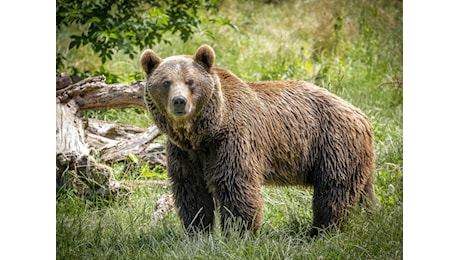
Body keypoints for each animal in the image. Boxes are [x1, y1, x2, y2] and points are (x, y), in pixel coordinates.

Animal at [140, 45, 374, 238]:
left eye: (191, 81)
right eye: (166, 82)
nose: (179, 101)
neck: (204, 133)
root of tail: (362, 115)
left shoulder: (232, 139)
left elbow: (235, 184)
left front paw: (238, 233)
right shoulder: (184, 152)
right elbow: (191, 189)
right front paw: (198, 232)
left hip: (333, 144)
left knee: (333, 192)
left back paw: (321, 231)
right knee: (364, 192)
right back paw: (370, 217)